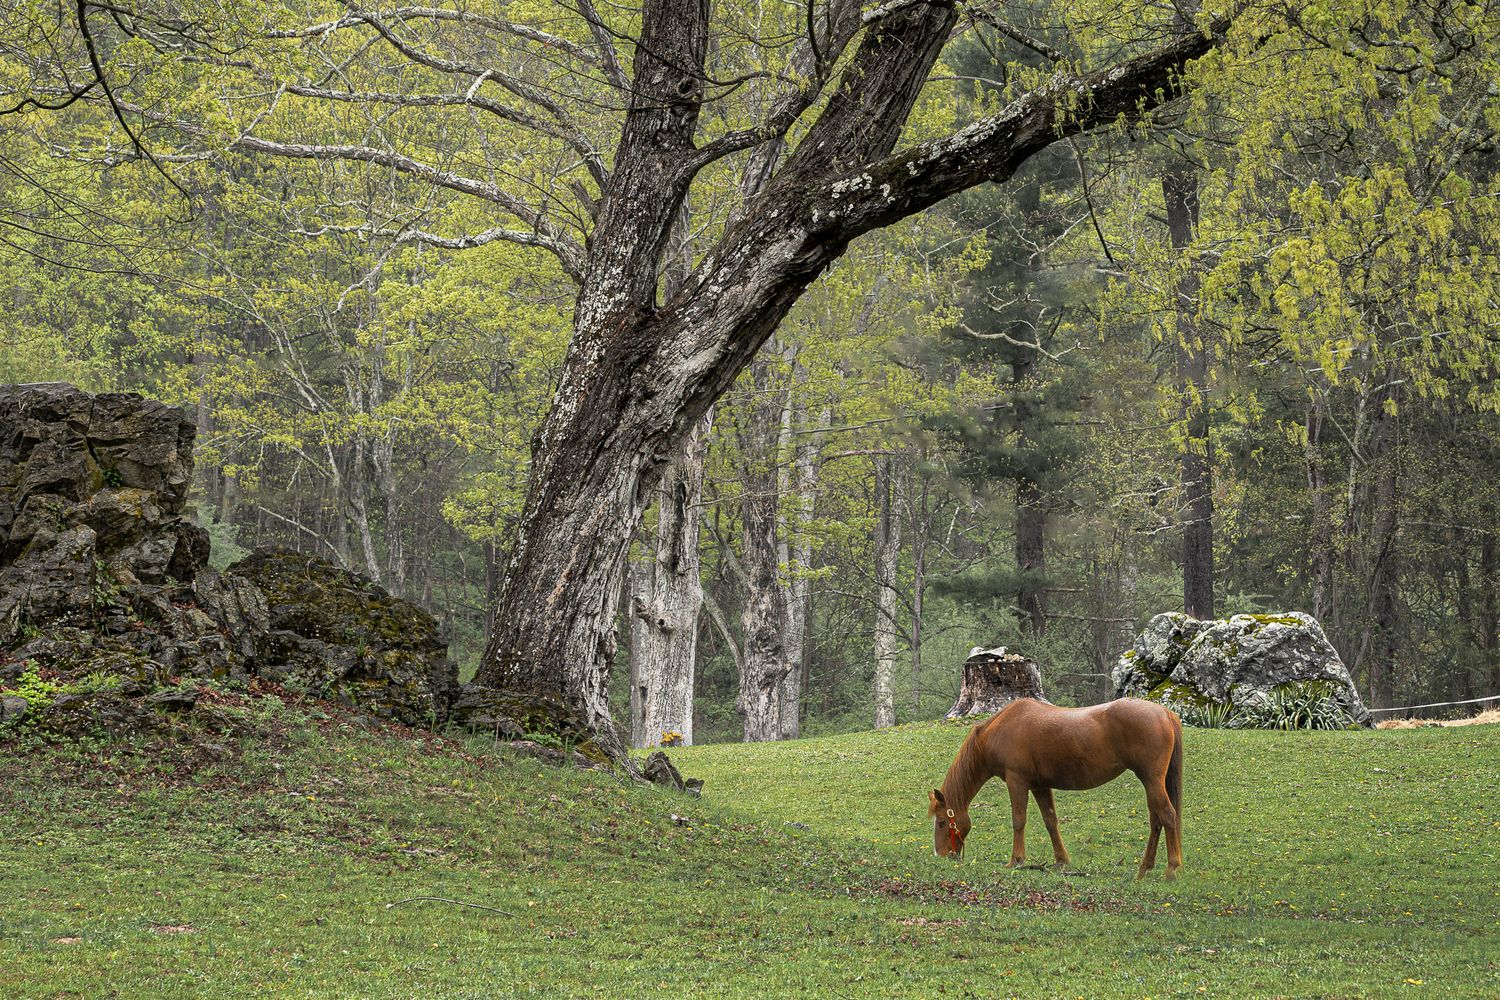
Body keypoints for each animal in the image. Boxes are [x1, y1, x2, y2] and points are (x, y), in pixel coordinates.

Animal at [927, 697, 1184, 879]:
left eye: (942, 823)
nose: (941, 855)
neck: (998, 730)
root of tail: (1165, 713)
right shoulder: (1040, 786)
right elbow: (1051, 821)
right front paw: (1061, 861)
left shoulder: (1017, 781)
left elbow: (1018, 820)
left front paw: (1016, 860)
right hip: (1152, 784)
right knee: (1156, 821)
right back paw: (1145, 868)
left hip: (1151, 781)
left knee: (1167, 815)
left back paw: (1171, 869)